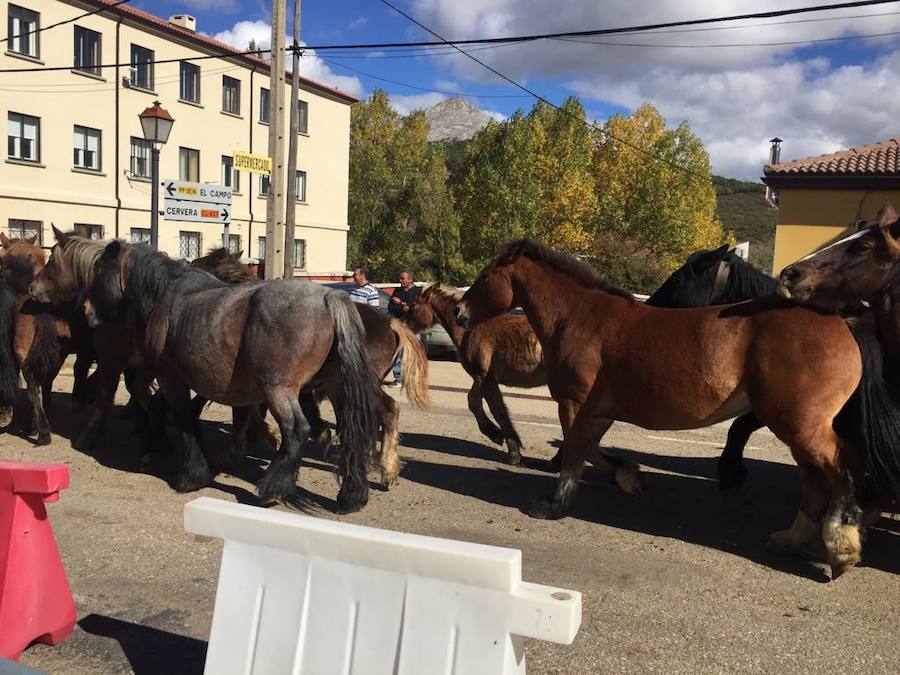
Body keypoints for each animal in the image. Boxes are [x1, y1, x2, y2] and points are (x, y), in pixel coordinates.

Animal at [82, 239, 382, 512]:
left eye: (98, 270)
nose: (86, 310)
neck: (167, 294)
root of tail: (327, 297)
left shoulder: (172, 378)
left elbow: (184, 418)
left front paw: (191, 475)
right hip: (336, 389)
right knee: (350, 432)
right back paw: (352, 496)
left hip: (279, 389)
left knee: (297, 430)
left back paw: (273, 489)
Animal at [406, 284, 544, 464]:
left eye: (414, 306)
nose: (402, 325)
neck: (470, 329)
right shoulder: (480, 378)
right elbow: (473, 402)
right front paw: (494, 433)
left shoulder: (484, 378)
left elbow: (498, 410)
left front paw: (513, 451)